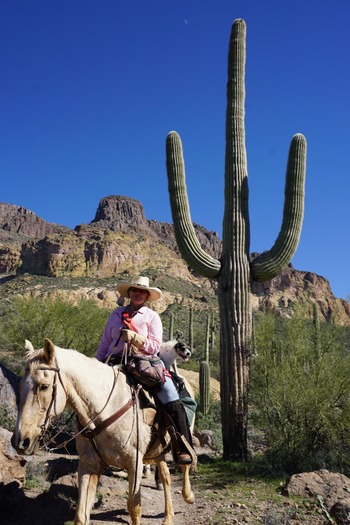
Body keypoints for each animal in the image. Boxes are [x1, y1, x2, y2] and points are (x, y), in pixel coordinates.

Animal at [10, 340, 194, 524]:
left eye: (44, 386)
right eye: (19, 385)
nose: (20, 441)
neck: (105, 407)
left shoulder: (134, 463)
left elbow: (134, 508)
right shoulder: (89, 465)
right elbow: (81, 514)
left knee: (184, 462)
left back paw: (188, 495)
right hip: (158, 449)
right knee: (165, 477)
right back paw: (168, 516)